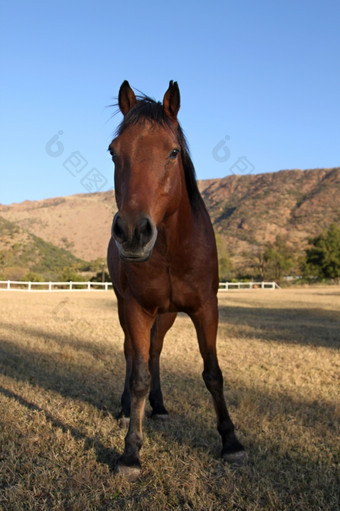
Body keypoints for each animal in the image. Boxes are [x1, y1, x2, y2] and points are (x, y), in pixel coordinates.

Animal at [107, 80, 243, 480]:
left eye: (172, 151)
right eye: (113, 151)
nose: (132, 232)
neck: (171, 249)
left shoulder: (206, 308)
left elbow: (213, 373)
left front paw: (231, 441)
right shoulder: (136, 309)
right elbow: (137, 375)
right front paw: (130, 453)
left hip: (166, 315)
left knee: (154, 352)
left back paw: (161, 406)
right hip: (129, 309)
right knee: (133, 354)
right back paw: (127, 411)